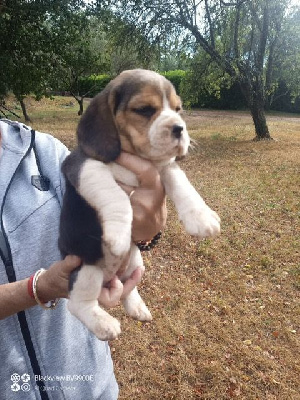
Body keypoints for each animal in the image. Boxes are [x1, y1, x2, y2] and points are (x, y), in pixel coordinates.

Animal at [59, 69, 220, 340]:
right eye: (145, 109)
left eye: (178, 109)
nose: (180, 128)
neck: (135, 155)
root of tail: (109, 276)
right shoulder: (81, 165)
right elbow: (116, 195)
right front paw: (117, 236)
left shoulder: (165, 167)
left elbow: (182, 182)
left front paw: (201, 217)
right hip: (86, 267)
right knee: (78, 304)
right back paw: (105, 324)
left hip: (136, 260)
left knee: (128, 288)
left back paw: (137, 308)